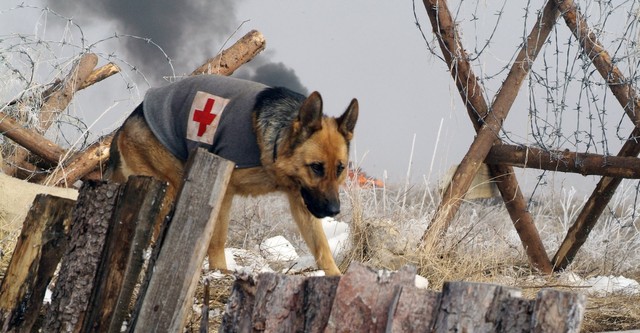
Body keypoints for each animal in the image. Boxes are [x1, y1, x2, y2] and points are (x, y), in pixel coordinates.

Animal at [103, 75, 358, 274]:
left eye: (340, 168)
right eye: (316, 167)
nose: (334, 210)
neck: (277, 141)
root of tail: (128, 122)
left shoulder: (301, 201)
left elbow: (322, 248)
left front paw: (336, 277)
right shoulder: (224, 191)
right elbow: (217, 238)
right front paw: (219, 272)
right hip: (171, 185)